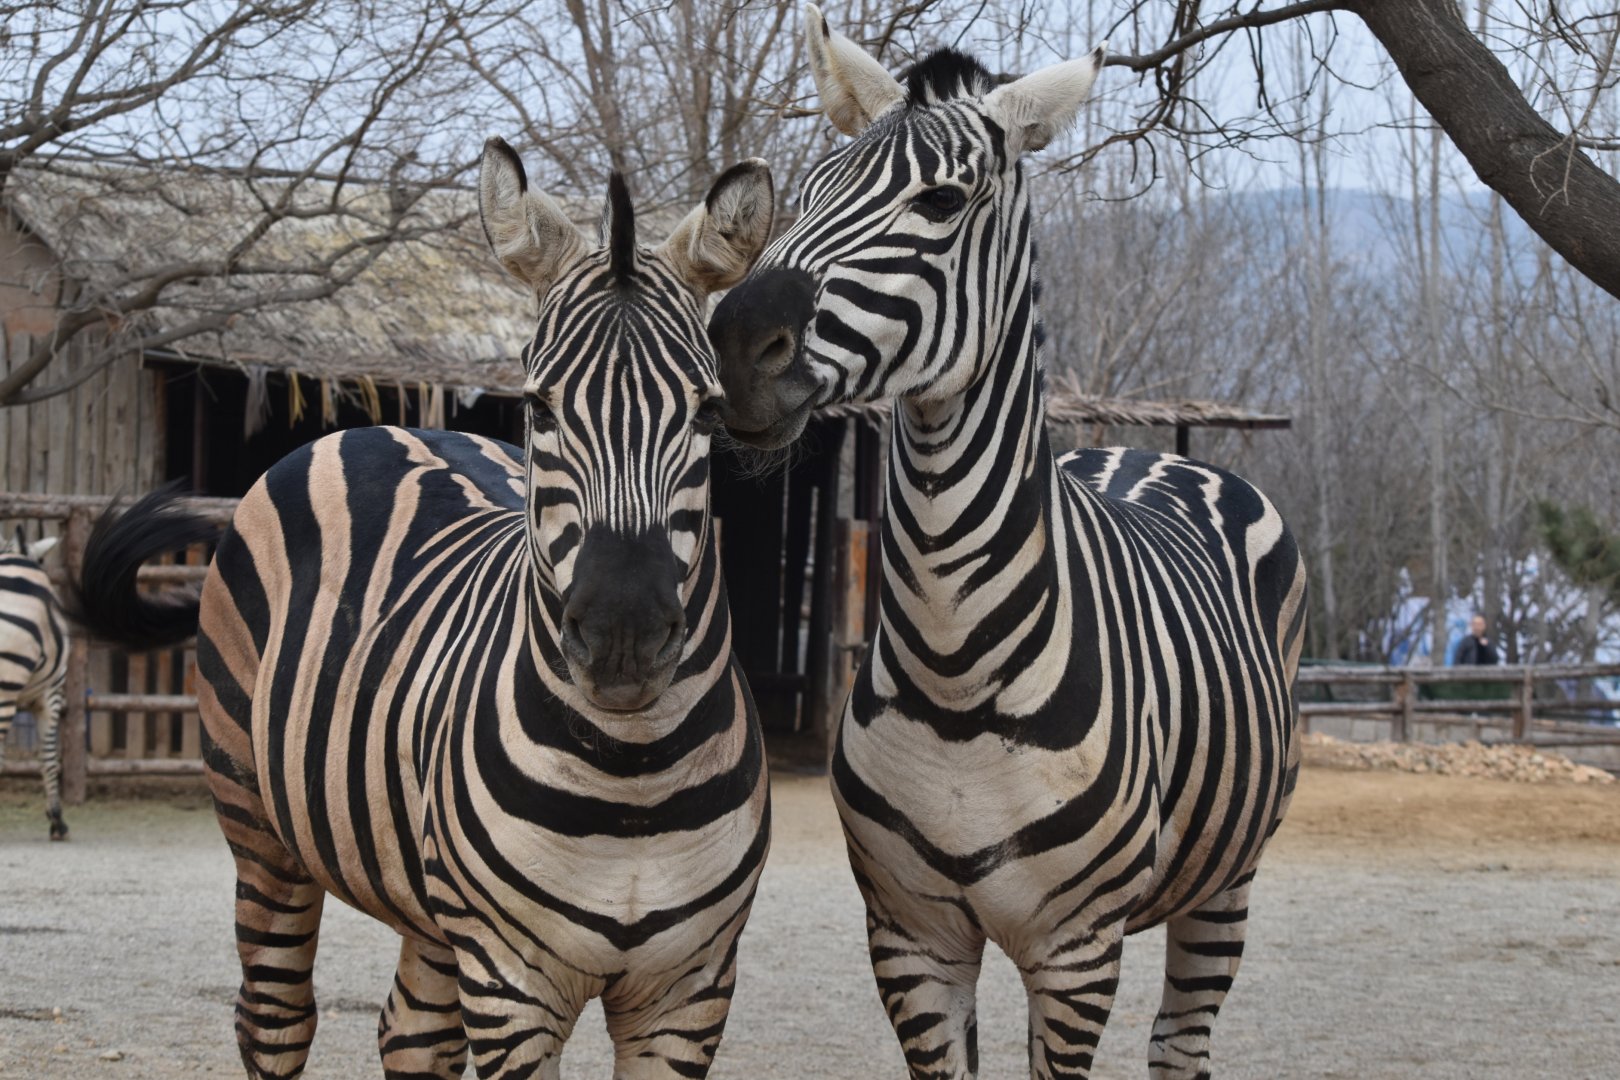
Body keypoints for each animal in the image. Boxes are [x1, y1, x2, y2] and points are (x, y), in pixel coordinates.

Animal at [70, 141, 777, 1080]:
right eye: (539, 405)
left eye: (706, 408)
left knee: (410, 1033)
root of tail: (386, 424)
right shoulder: (512, 986)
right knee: (274, 1017)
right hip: (258, 823)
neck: (634, 775)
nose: (623, 638)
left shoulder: (690, 993)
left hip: (430, 902)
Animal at [709, 8, 1308, 1078]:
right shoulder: (910, 936)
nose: (739, 344)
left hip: (1228, 879)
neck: (957, 677)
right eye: (807, 192)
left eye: (942, 201)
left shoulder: (1074, 952)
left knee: (1180, 1042)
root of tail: (1140, 450)